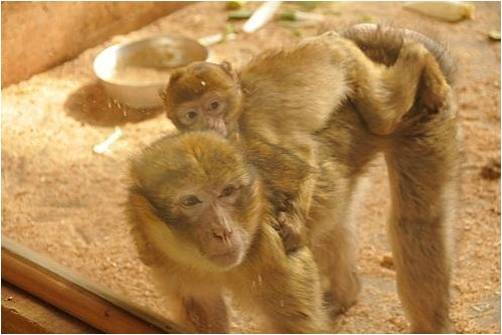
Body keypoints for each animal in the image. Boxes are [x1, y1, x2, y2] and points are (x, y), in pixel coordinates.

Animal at [161, 32, 432, 252]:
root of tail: (326, 40)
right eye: (191, 115)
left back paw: (415, 54)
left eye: (214, 105)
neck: (240, 106)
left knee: (381, 120)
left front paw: (295, 224)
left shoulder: (252, 131)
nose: (210, 124)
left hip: (347, 59)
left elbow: (304, 159)